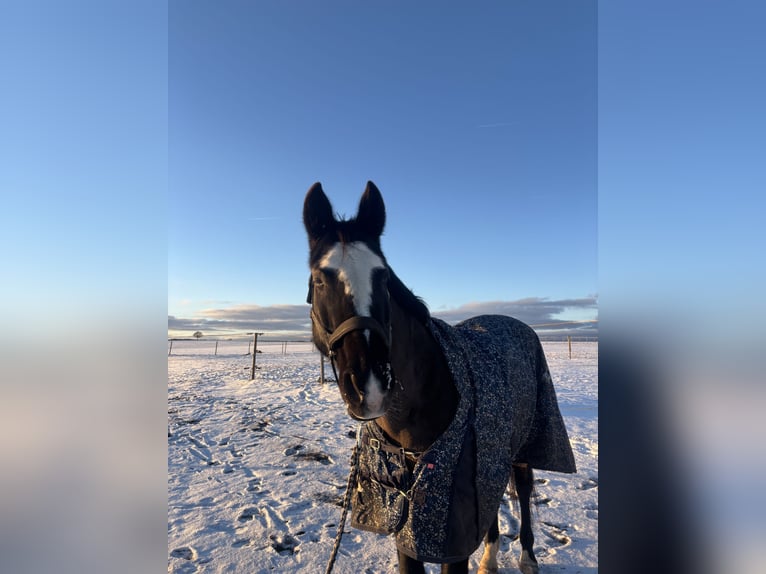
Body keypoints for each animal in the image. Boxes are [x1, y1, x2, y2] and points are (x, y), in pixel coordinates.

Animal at [303, 181, 576, 574]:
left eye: (383, 277)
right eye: (319, 279)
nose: (370, 387)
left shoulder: (450, 532)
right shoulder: (405, 523)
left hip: (526, 440)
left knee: (523, 489)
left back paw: (527, 557)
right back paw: (490, 558)